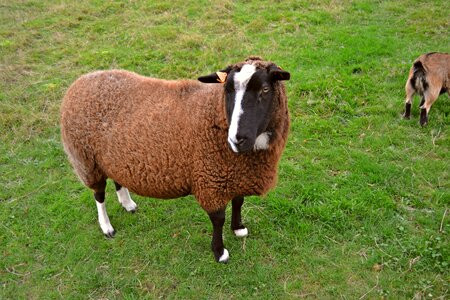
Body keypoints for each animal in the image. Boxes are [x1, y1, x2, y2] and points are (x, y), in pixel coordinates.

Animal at [60, 56, 292, 262]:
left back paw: (127, 203)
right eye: (227, 91)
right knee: (98, 195)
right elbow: (218, 219)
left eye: (265, 89)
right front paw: (219, 252)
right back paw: (107, 226)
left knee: (118, 179)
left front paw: (238, 229)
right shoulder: (210, 180)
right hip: (87, 160)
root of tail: (79, 82)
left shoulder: (236, 174)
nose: (237, 139)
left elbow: (238, 201)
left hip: (115, 158)